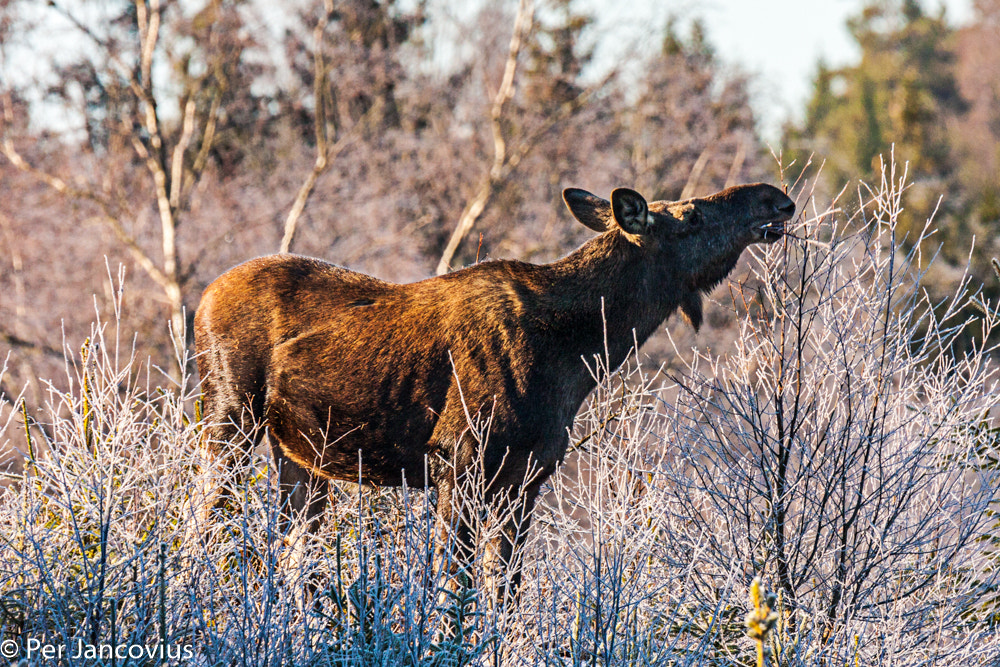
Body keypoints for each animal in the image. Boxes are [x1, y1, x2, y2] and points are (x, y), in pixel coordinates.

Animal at [192, 183, 796, 604]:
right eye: (693, 215)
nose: (776, 198)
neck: (581, 352)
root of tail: (201, 300)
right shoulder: (457, 460)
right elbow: (450, 586)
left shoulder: (526, 478)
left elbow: (504, 592)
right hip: (229, 415)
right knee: (206, 523)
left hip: (300, 455)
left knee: (293, 558)